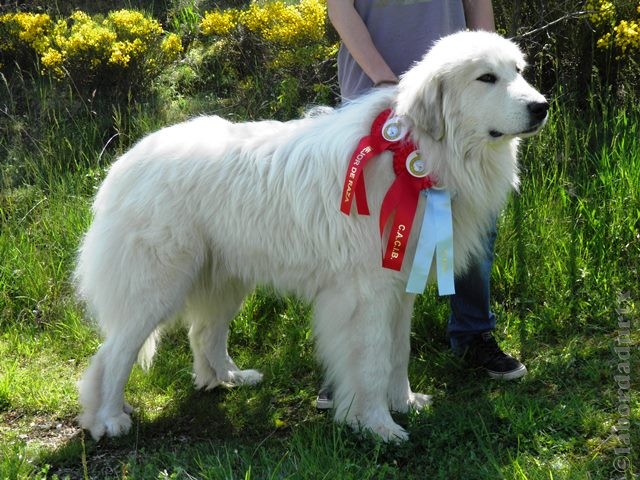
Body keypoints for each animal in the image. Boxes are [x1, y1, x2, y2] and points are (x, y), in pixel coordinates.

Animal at [75, 30, 544, 442]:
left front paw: (405, 403)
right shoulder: (368, 293)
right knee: (113, 355)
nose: (541, 106)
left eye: (518, 71)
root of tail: (126, 162)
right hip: (156, 287)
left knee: (204, 333)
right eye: (486, 78)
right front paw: (378, 425)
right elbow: (373, 360)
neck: (418, 152)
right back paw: (108, 419)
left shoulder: (400, 287)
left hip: (225, 278)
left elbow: (399, 353)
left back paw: (228, 378)